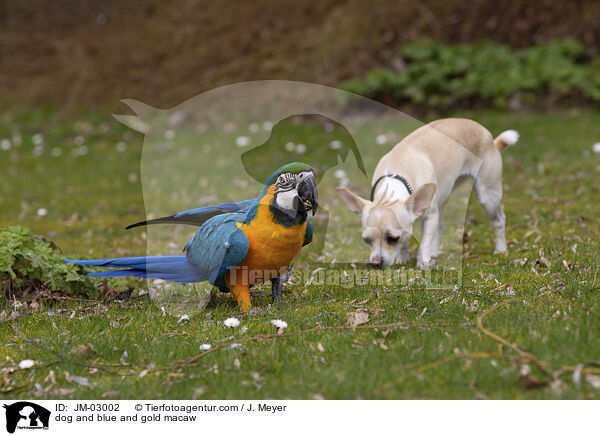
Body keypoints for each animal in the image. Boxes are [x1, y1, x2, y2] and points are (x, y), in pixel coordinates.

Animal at [336, 118, 516, 270]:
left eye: (393, 238)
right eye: (366, 240)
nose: (375, 263)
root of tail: (491, 139)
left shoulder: (429, 216)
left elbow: (424, 242)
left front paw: (422, 261)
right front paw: (403, 256)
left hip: (487, 195)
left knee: (499, 219)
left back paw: (501, 249)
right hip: (442, 196)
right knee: (440, 224)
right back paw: (434, 252)